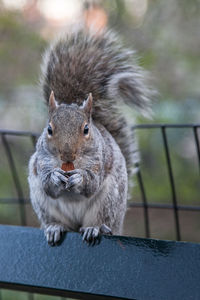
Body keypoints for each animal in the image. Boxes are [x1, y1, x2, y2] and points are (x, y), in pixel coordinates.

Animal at [28, 27, 152, 246]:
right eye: (49, 129)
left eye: (86, 129)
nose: (67, 155)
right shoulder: (42, 161)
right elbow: (47, 184)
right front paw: (55, 176)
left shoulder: (98, 161)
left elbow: (91, 184)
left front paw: (80, 178)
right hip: (42, 204)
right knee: (57, 221)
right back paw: (54, 228)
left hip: (109, 202)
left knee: (101, 221)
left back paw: (95, 229)